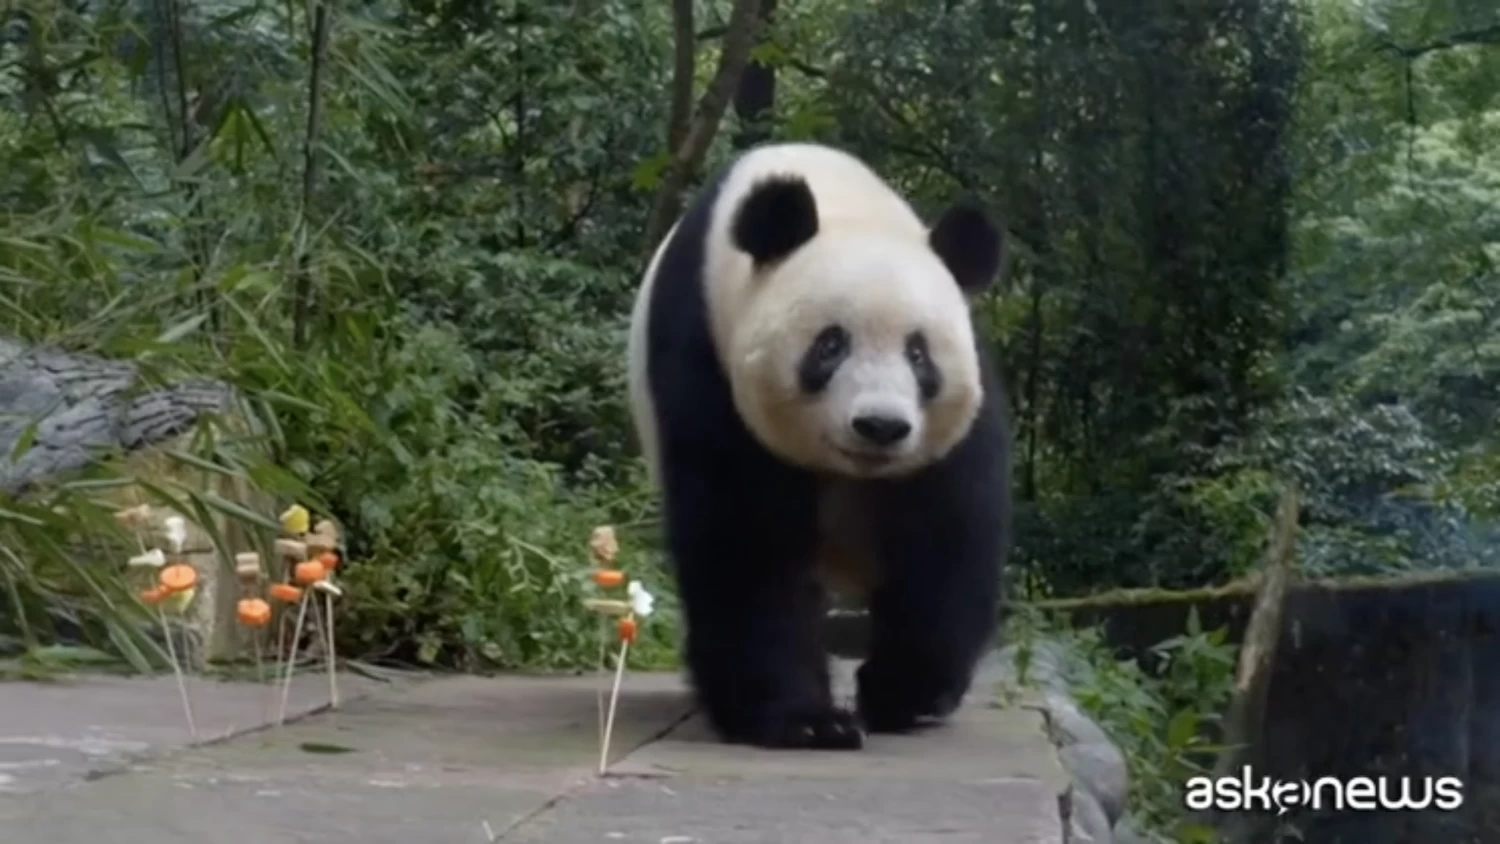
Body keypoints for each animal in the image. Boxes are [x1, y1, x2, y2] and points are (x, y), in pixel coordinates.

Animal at [621, 140, 1008, 752]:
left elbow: (946, 537)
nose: (880, 426)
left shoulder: (956, 424)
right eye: (830, 346)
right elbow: (747, 540)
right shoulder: (704, 357)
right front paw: (805, 720)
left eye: (919, 354)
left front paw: (900, 693)